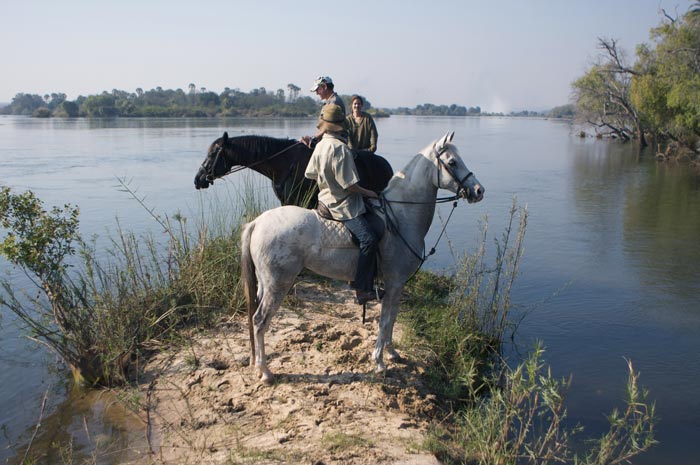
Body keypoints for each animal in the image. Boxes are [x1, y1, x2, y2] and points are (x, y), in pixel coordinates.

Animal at [240, 132, 485, 385]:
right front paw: (379, 362)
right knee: (260, 321)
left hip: (265, 284)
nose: (478, 190)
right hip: (277, 285)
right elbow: (385, 320)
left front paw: (391, 352)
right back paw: (265, 372)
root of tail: (257, 222)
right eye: (452, 162)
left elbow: (393, 317)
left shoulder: (397, 285)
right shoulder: (394, 282)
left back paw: (258, 366)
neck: (401, 216)